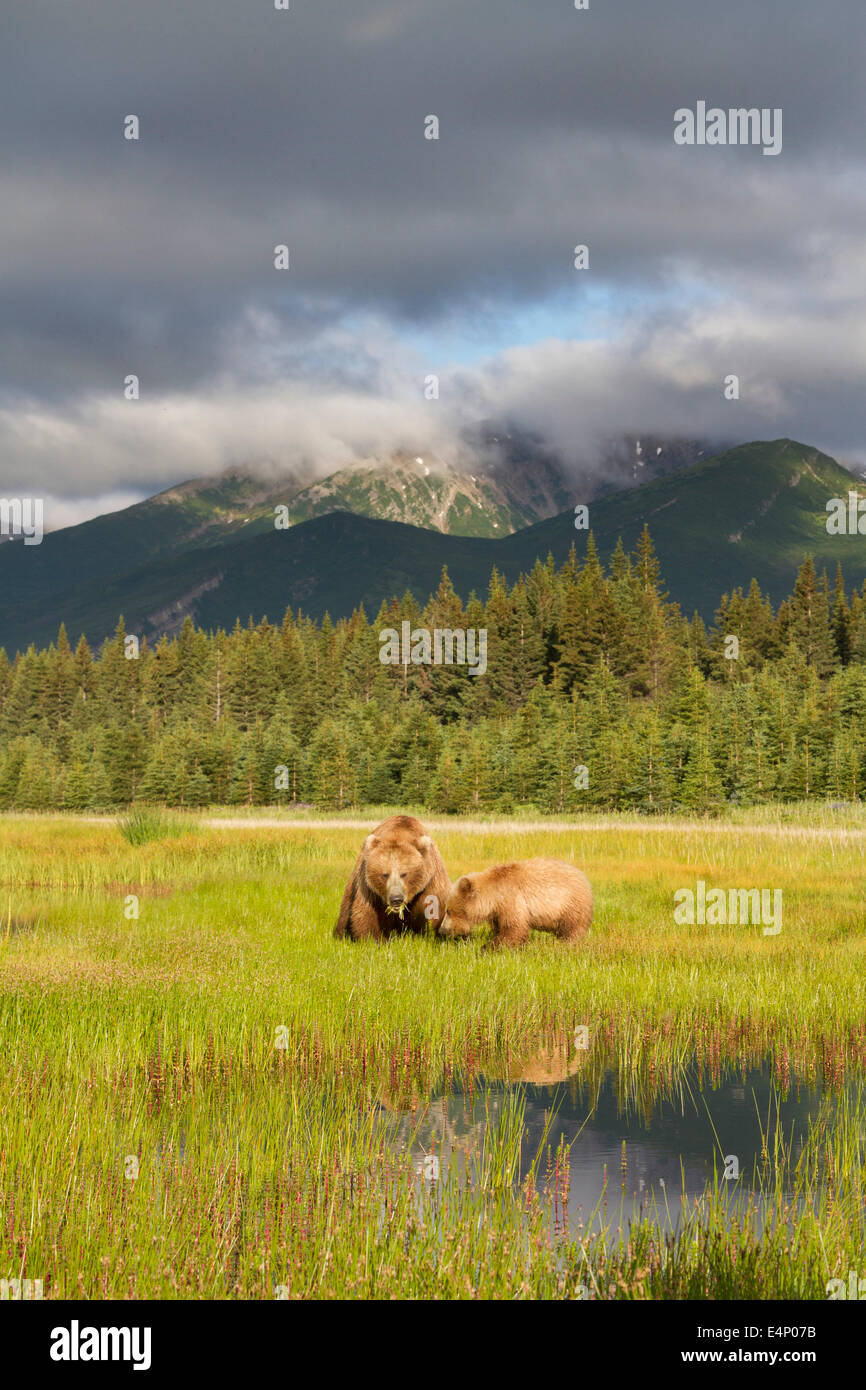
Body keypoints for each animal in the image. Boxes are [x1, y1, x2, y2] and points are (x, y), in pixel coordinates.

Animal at [333, 811, 450, 945]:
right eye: (385, 874)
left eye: (404, 874)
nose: (396, 899)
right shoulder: (369, 887)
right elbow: (366, 912)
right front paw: (374, 940)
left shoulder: (431, 879)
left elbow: (441, 904)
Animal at [436, 856, 592, 956]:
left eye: (448, 911)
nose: (442, 930)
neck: (494, 897)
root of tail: (584, 878)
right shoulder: (498, 912)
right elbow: (502, 928)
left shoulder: (511, 900)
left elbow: (514, 929)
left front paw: (486, 948)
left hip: (570, 904)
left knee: (571, 930)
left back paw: (564, 945)